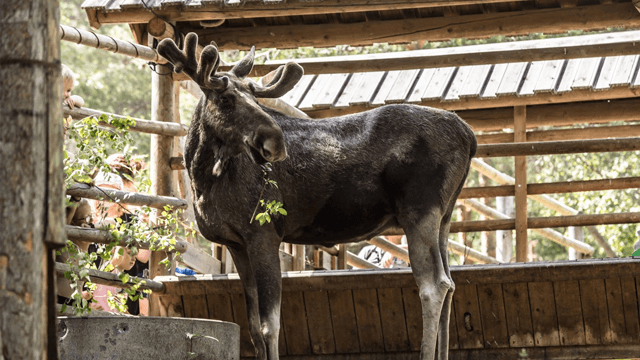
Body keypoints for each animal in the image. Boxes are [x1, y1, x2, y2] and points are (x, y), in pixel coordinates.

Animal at [158, 33, 478, 360]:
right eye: (225, 99)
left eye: (256, 99)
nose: (275, 142)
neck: (203, 178)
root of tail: (470, 137)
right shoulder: (236, 243)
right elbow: (252, 327)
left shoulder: (264, 233)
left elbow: (269, 325)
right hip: (443, 218)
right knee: (450, 282)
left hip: (419, 212)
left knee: (434, 285)